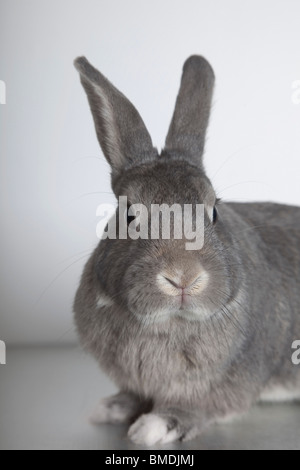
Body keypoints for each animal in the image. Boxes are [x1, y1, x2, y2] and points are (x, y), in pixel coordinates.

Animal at [73, 55, 300, 444]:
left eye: (214, 211)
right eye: (129, 214)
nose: (183, 276)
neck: (167, 325)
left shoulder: (222, 386)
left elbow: (194, 407)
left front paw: (153, 426)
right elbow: (133, 394)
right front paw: (112, 407)